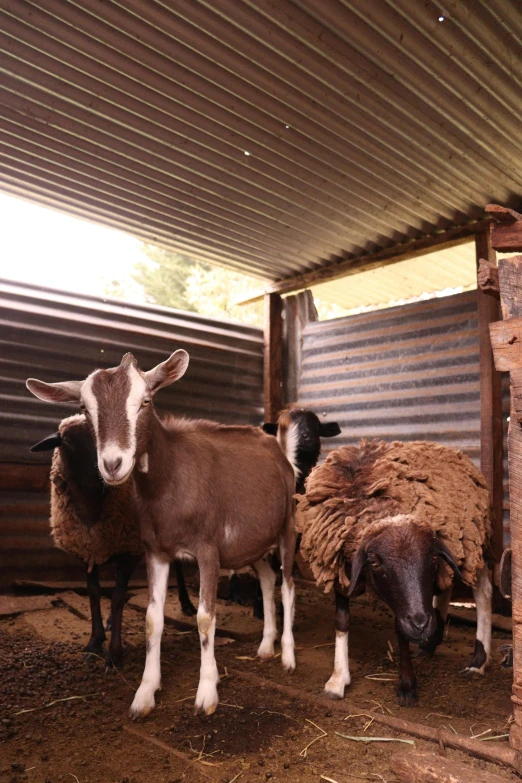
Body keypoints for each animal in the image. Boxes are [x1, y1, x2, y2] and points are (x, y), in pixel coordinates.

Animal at [26, 352, 296, 720]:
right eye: (85, 408)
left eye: (146, 401)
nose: (112, 464)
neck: (170, 480)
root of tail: (276, 447)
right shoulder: (155, 551)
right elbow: (152, 620)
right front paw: (144, 694)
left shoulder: (208, 550)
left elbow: (205, 618)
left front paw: (207, 694)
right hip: (251, 543)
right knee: (268, 581)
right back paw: (266, 646)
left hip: (287, 525)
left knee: (288, 586)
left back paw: (288, 657)